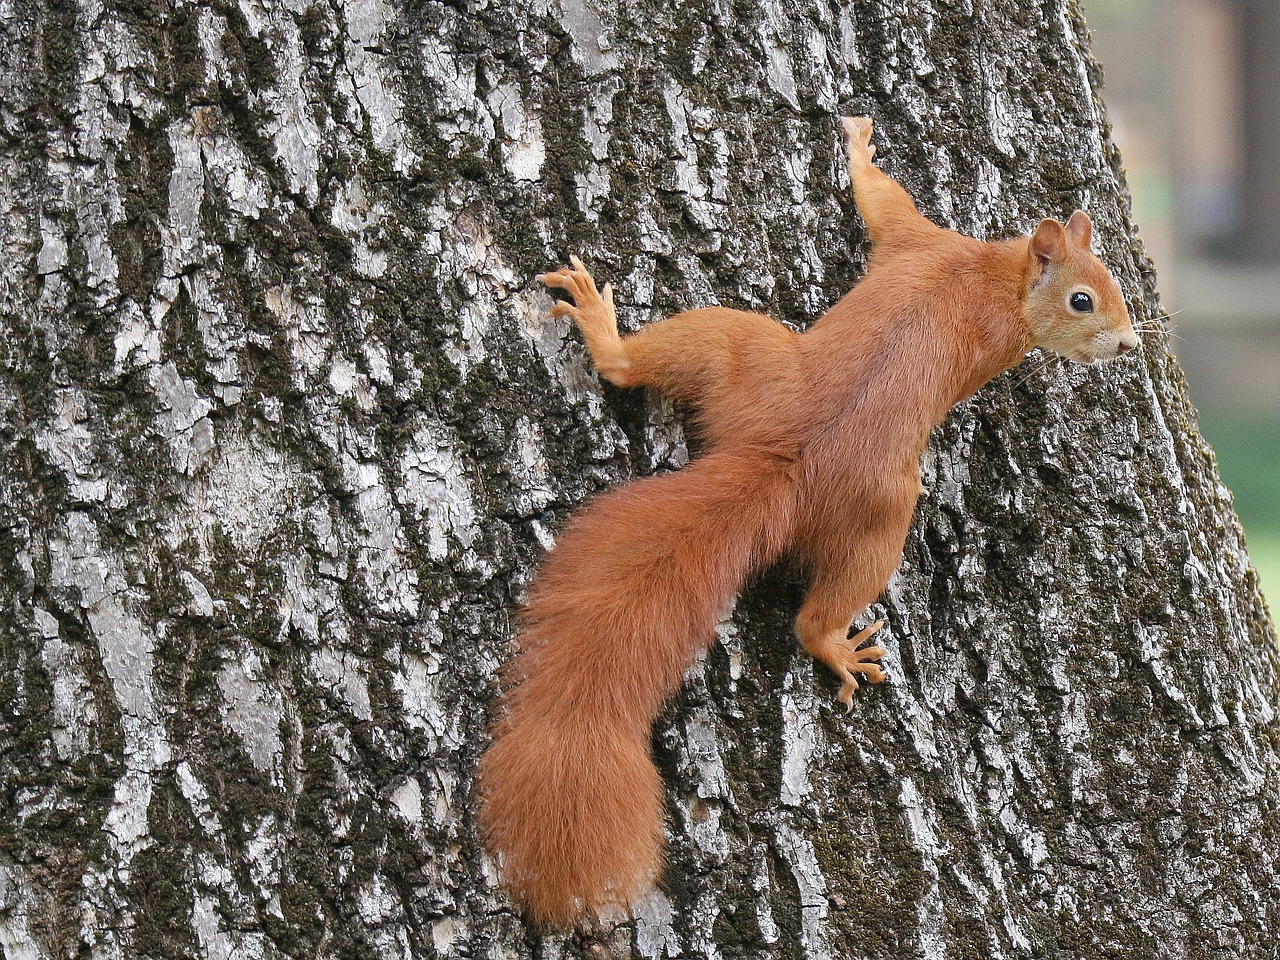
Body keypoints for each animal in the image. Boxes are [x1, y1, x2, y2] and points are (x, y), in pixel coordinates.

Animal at [476, 116, 1136, 926]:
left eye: (1115, 288)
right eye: (1083, 300)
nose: (1129, 344)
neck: (993, 273)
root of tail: (791, 460)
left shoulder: (924, 243)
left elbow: (881, 205)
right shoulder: (937, 253)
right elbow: (886, 200)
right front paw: (863, 145)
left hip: (739, 356)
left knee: (636, 369)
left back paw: (609, 339)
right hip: (880, 510)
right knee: (817, 612)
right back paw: (836, 645)